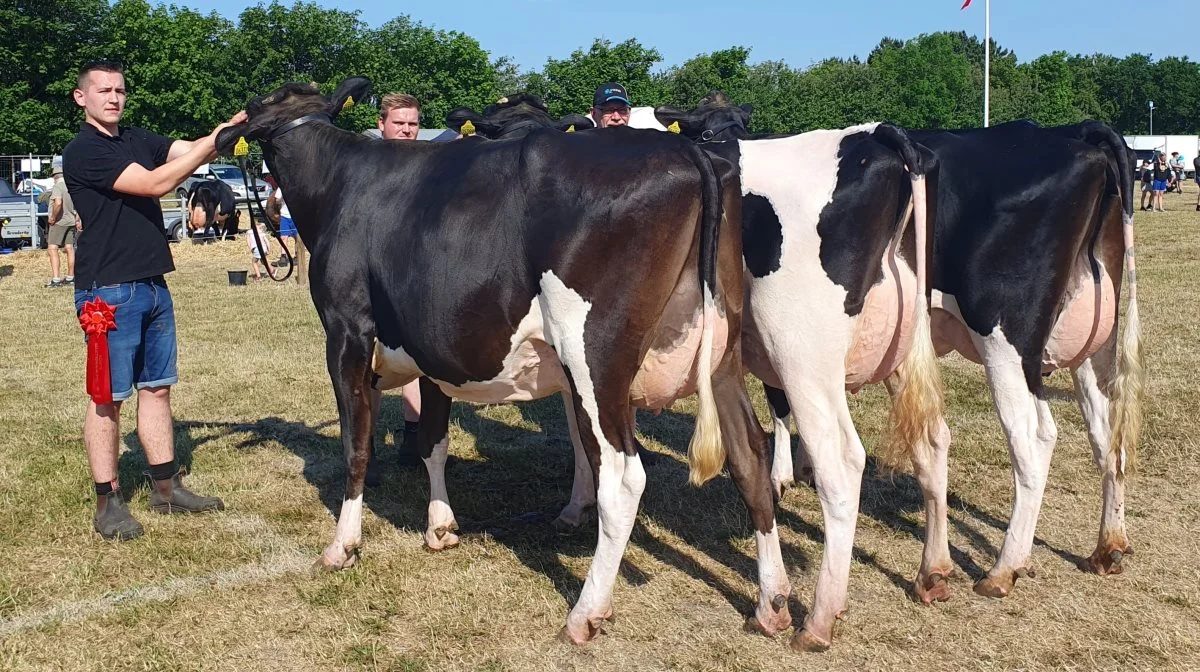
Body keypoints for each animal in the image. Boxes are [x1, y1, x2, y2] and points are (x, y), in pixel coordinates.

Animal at [214, 78, 792, 648]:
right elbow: (432, 441)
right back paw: (772, 604)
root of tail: (687, 150)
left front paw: (342, 546)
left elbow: (356, 444)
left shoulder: (346, 333)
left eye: (258, 104)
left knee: (624, 476)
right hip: (722, 353)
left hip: (594, 356)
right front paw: (440, 527)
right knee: (749, 456)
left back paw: (585, 613)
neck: (340, 183)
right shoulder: (433, 351)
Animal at [652, 96, 940, 652]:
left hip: (802, 353)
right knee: (932, 441)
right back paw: (934, 573)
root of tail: (879, 136)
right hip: (902, 350)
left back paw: (820, 620)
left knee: (843, 463)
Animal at [676, 97, 1142, 612]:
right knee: (1107, 429)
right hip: (1093, 338)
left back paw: (1004, 568)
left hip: (996, 335)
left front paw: (783, 476)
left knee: (1031, 436)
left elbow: (775, 410)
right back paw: (1107, 546)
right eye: (710, 129)